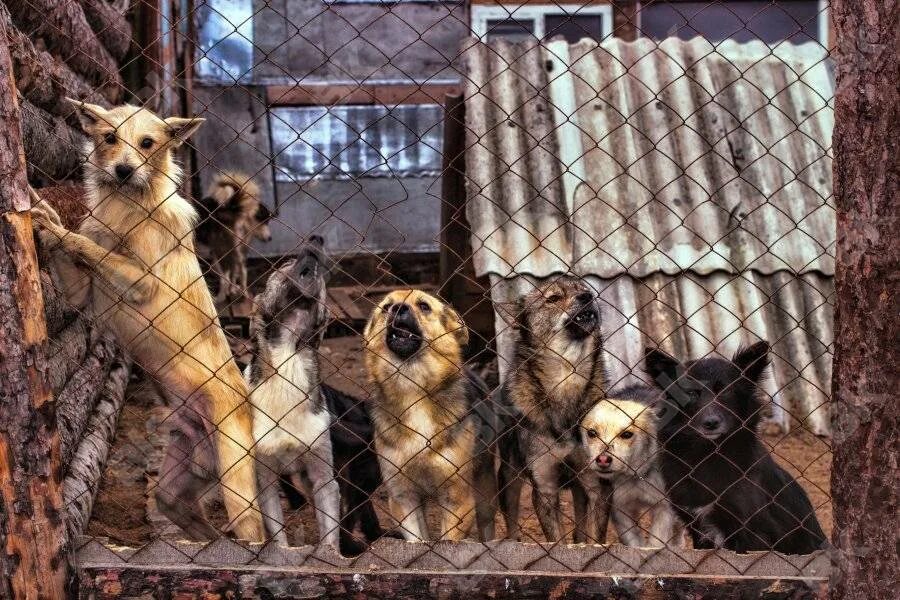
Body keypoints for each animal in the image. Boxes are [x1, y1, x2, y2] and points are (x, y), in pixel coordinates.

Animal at [30, 98, 264, 540]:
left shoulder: (141, 283)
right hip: (175, 488)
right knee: (194, 520)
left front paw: (54, 225)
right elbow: (75, 247)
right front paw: (41, 211)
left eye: (148, 143)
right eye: (109, 138)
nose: (124, 170)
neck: (127, 206)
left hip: (239, 495)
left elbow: (86, 244)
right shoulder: (79, 292)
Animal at [360, 288, 500, 540]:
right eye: (386, 307)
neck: (413, 389)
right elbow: (417, 540)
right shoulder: (403, 497)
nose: (397, 309)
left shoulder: (457, 499)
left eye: (424, 306)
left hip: (485, 488)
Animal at [580, 390, 680, 548]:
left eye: (626, 434)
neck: (634, 476)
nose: (603, 460)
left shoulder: (664, 509)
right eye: (592, 433)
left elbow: (655, 543)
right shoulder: (621, 511)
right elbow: (635, 544)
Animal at [644, 342, 828, 552]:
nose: (711, 423)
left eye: (725, 391)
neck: (708, 455)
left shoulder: (754, 533)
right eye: (691, 394)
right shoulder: (698, 529)